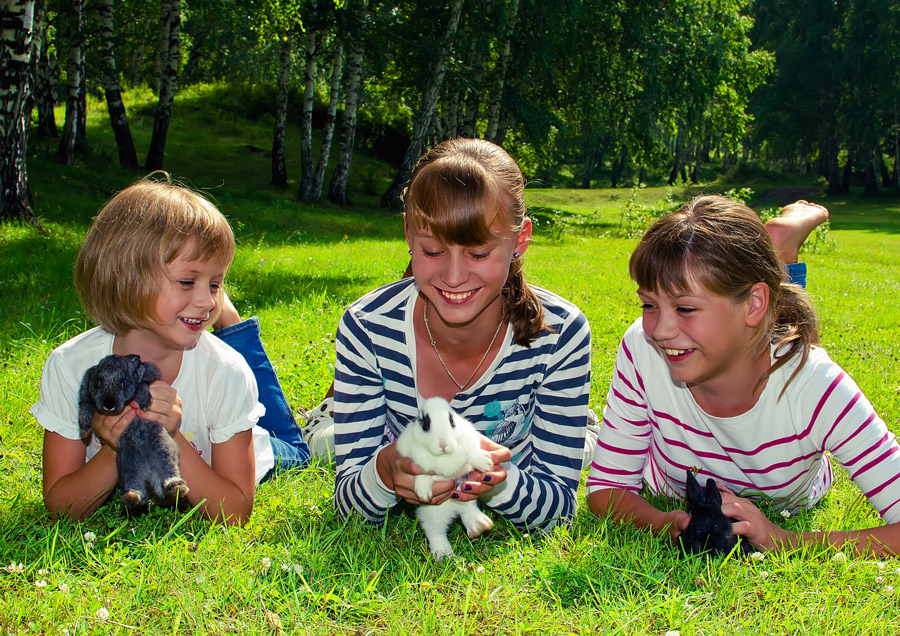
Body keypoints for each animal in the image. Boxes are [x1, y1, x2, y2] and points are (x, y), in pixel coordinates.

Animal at [78, 356, 189, 516]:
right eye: (98, 383)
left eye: (123, 383)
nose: (108, 404)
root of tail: (149, 471)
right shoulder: (86, 389)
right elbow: (85, 404)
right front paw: (85, 430)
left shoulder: (150, 373)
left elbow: (142, 383)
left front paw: (143, 400)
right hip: (127, 462)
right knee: (138, 489)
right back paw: (131, 496)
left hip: (164, 448)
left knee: (169, 470)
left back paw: (177, 487)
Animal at [400, 398, 500, 560]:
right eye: (425, 424)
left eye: (452, 421)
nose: (443, 445)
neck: (443, 456)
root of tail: (453, 508)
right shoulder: (414, 459)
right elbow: (422, 473)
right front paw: (423, 492)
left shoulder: (469, 440)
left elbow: (472, 453)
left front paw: (486, 463)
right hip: (431, 515)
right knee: (436, 532)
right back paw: (443, 554)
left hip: (465, 494)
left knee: (468, 509)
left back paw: (479, 526)